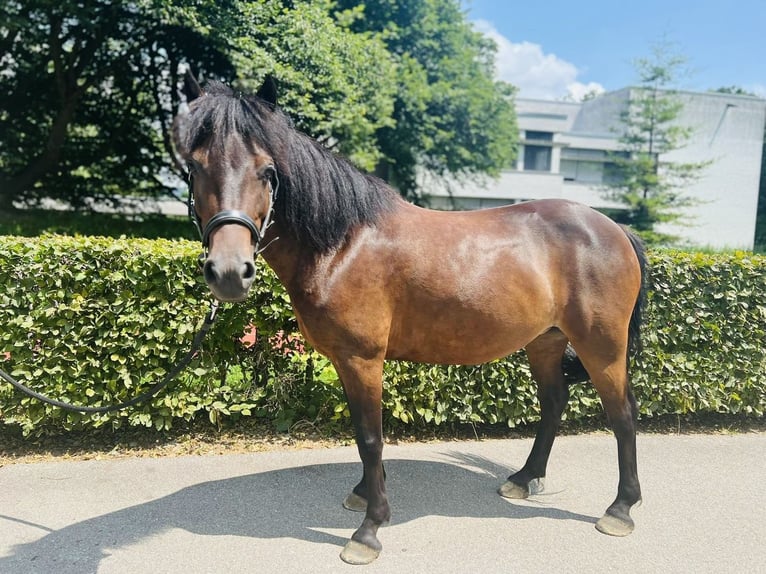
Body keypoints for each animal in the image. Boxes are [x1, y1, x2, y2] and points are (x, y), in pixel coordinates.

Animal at [176, 75, 648, 568]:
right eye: (194, 168)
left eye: (268, 171)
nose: (229, 271)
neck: (343, 244)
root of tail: (615, 230)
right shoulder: (345, 360)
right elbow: (362, 434)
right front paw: (364, 493)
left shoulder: (362, 358)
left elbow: (370, 437)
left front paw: (369, 530)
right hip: (545, 341)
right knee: (554, 402)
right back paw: (524, 478)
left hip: (602, 347)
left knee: (623, 414)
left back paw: (620, 508)